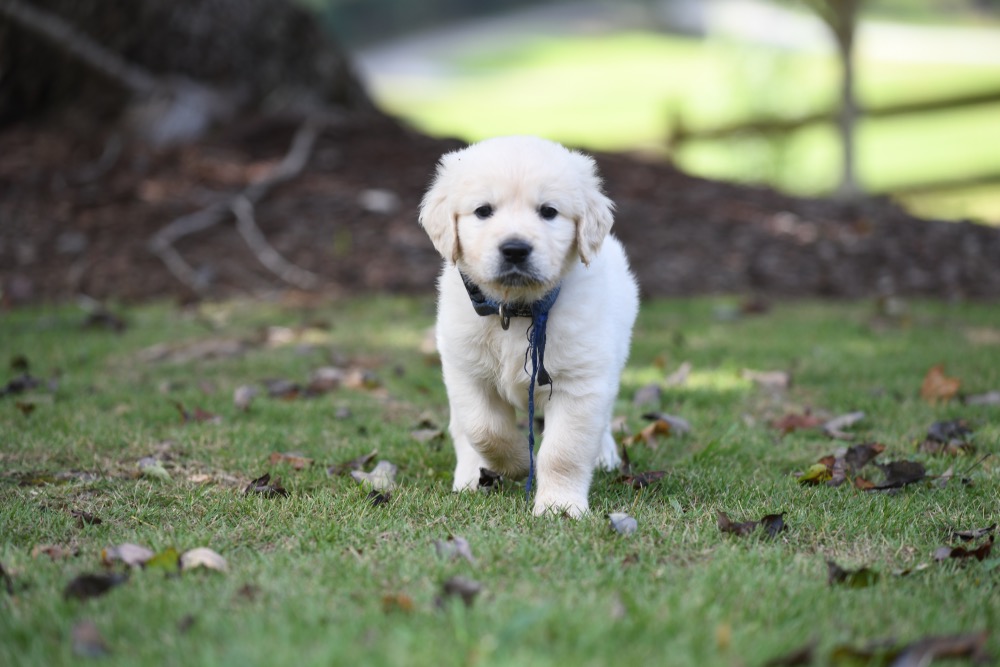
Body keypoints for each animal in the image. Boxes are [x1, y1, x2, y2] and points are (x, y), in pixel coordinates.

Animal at [418, 136, 636, 520]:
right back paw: (470, 478)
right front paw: (518, 462)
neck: (516, 309)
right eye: (483, 211)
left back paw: (605, 455)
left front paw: (560, 505)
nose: (515, 249)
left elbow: (564, 450)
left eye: (548, 212)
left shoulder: (581, 383)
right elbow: (484, 429)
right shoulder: (466, 372)